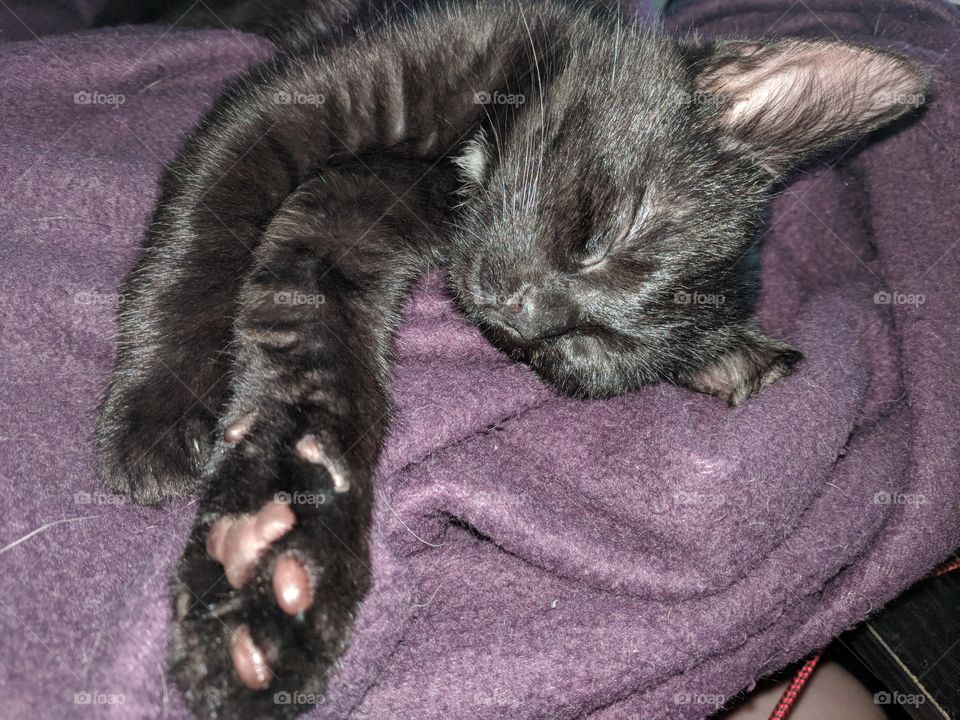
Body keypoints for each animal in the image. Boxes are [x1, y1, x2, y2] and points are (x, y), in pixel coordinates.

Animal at [94, 2, 928, 716]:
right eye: (606, 233)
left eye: (580, 349)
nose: (521, 315)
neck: (475, 152)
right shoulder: (301, 99)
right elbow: (207, 224)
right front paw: (157, 419)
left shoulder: (339, 232)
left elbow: (324, 381)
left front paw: (274, 575)